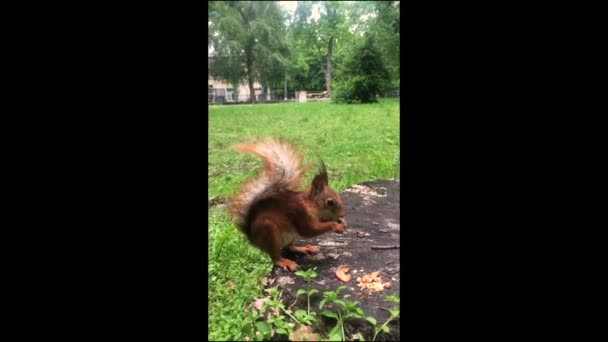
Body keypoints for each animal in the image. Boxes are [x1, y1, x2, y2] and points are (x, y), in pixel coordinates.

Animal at [229, 138, 346, 272]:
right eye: (330, 202)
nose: (343, 214)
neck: (309, 204)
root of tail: (253, 239)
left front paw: (341, 222)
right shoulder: (300, 213)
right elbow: (310, 230)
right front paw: (335, 225)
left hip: (291, 237)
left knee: (289, 248)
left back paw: (304, 248)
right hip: (270, 231)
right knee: (275, 256)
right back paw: (285, 262)